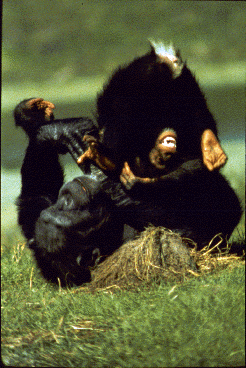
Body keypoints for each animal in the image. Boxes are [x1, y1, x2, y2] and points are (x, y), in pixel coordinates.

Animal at [14, 41, 242, 286]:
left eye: (61, 205)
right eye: (67, 207)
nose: (67, 194)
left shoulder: (32, 220)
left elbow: (34, 197)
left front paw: (53, 128)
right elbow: (201, 221)